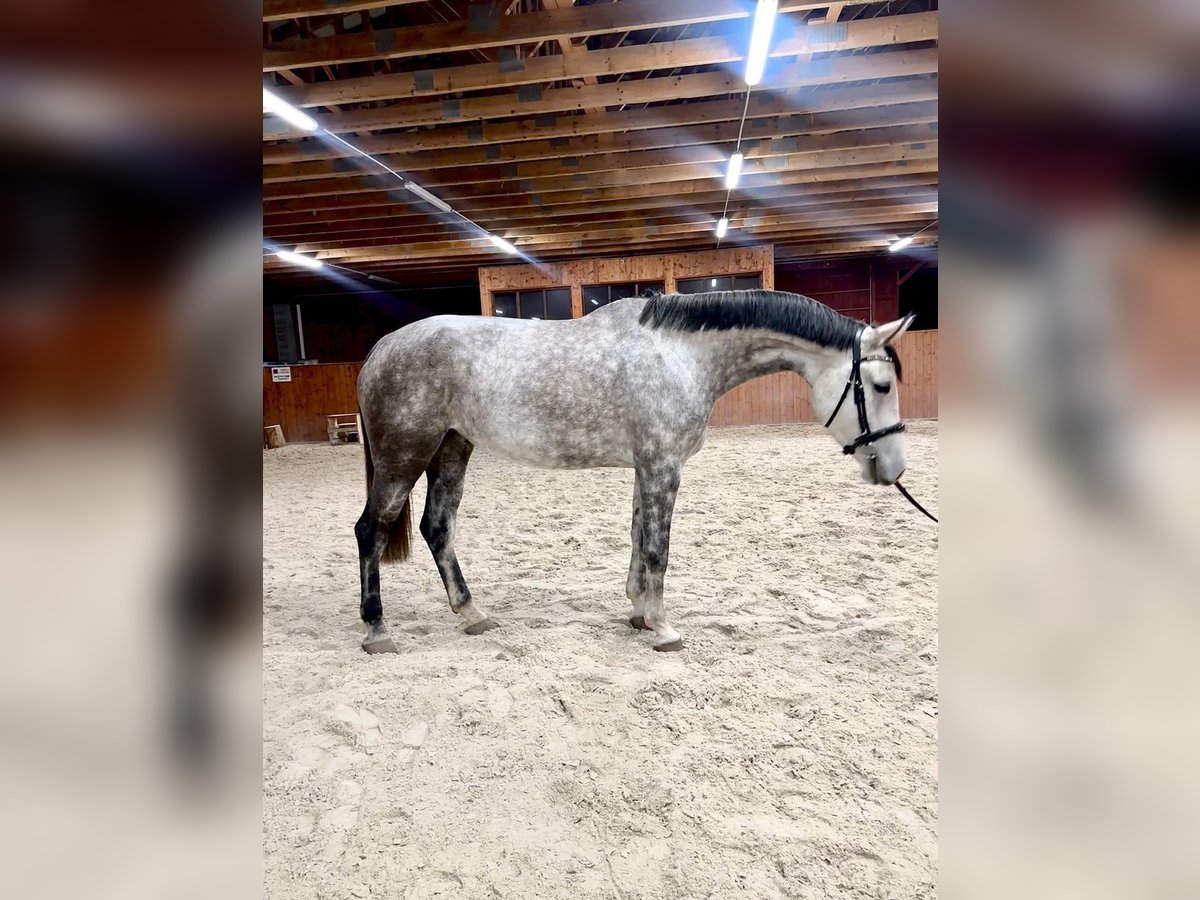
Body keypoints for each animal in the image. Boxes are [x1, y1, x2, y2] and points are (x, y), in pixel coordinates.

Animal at [350, 292, 912, 652]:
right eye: (881, 385)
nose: (893, 468)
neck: (681, 355)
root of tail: (382, 347)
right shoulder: (663, 466)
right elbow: (658, 547)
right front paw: (663, 628)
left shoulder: (648, 467)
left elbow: (639, 537)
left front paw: (640, 613)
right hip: (405, 455)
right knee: (371, 530)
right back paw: (377, 630)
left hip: (451, 449)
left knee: (437, 527)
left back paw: (472, 614)